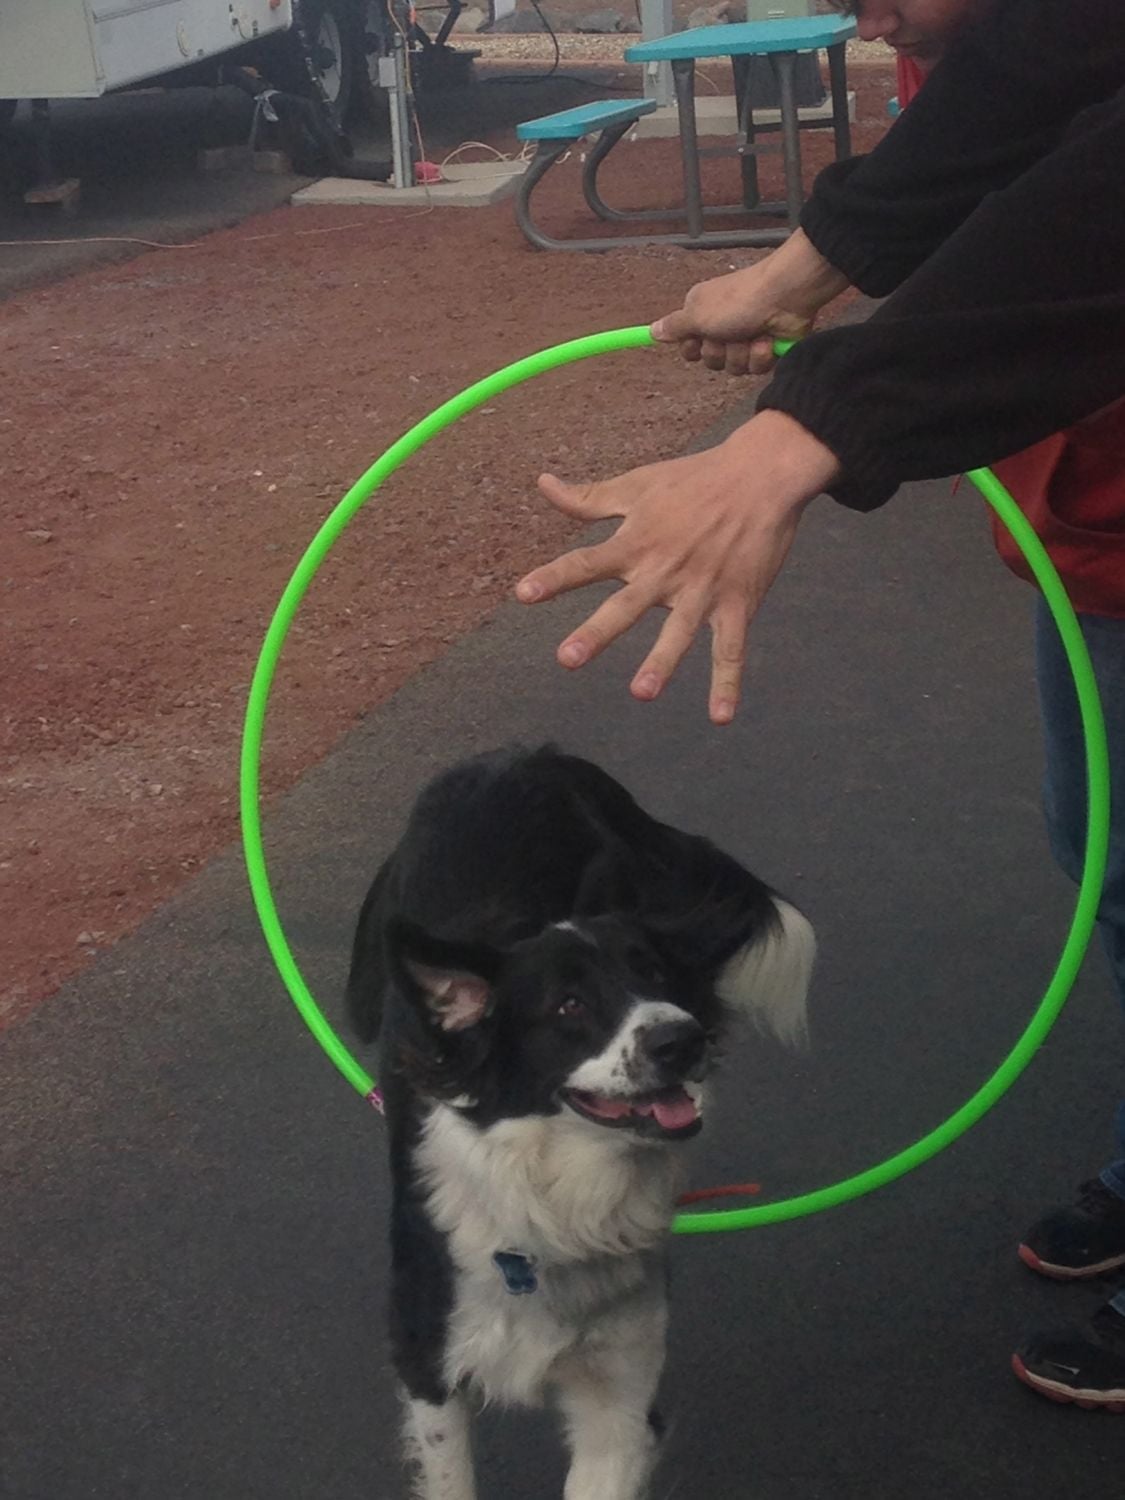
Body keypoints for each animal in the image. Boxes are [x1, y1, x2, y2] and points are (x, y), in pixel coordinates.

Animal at [346, 744, 815, 1500]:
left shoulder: (620, 1398)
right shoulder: (428, 1368)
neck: (556, 1205)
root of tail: (524, 755)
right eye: (568, 1006)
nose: (681, 1040)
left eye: (656, 973)